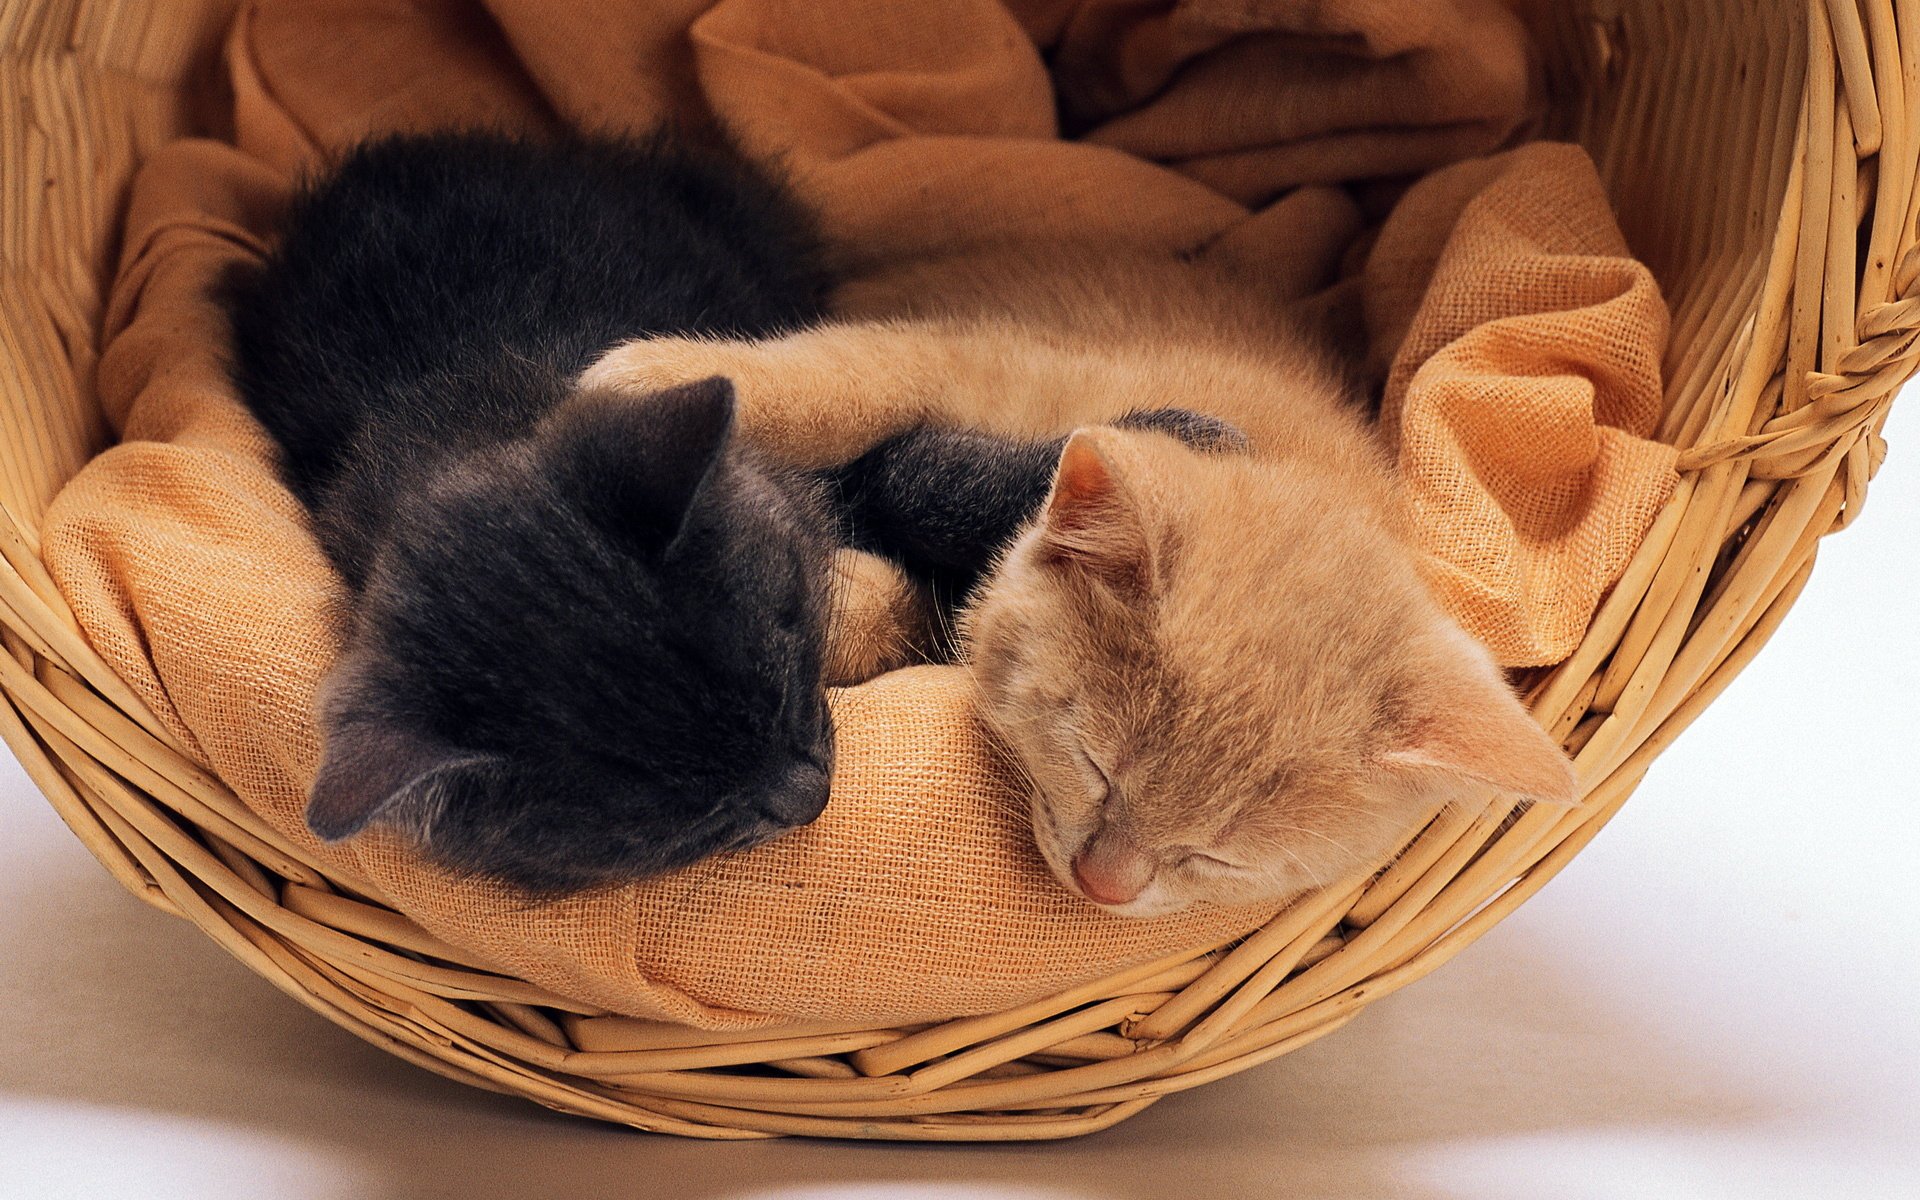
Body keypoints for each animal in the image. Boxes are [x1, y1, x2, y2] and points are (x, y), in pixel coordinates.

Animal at [579, 247, 1574, 913]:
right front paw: (646, 378)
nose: (1104, 886)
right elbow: (848, 380)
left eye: (1216, 857)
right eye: (1096, 765)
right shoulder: (973, 352)